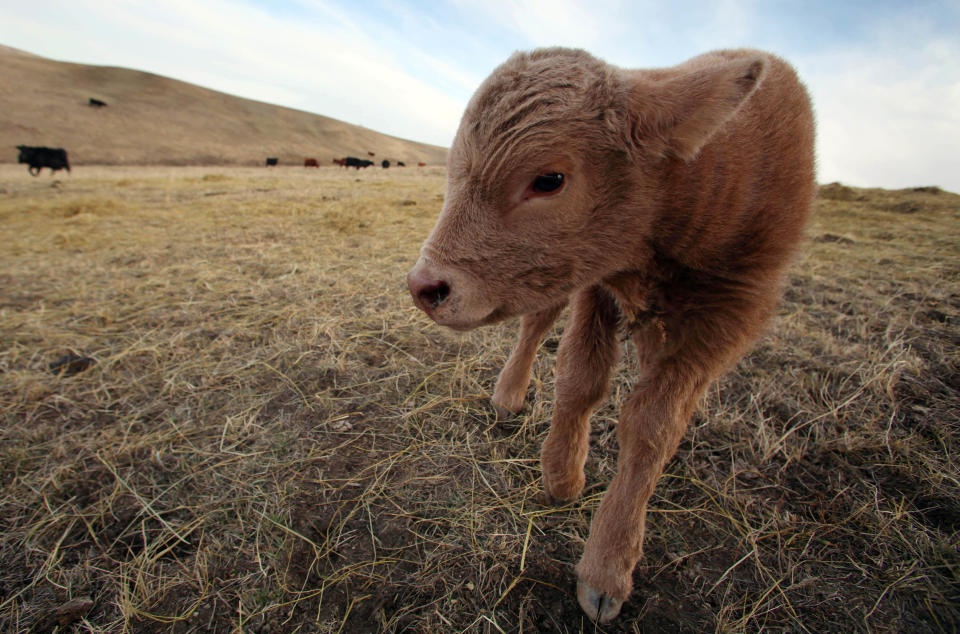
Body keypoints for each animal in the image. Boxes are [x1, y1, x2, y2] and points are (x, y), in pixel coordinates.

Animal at [406, 49, 816, 624]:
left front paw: (607, 571)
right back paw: (509, 395)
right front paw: (562, 477)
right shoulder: (594, 285)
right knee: (536, 323)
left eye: (549, 179)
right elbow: (580, 379)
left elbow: (653, 426)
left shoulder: (730, 314)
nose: (425, 287)